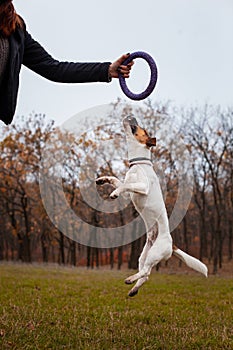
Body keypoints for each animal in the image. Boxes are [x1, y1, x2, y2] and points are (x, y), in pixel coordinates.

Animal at [96, 116, 208, 296]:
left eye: (140, 128)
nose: (131, 116)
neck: (139, 164)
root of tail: (171, 244)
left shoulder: (142, 187)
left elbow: (125, 185)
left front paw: (114, 193)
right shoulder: (129, 193)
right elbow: (117, 181)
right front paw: (103, 180)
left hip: (154, 254)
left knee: (146, 271)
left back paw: (130, 279)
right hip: (144, 255)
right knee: (146, 274)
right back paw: (134, 289)